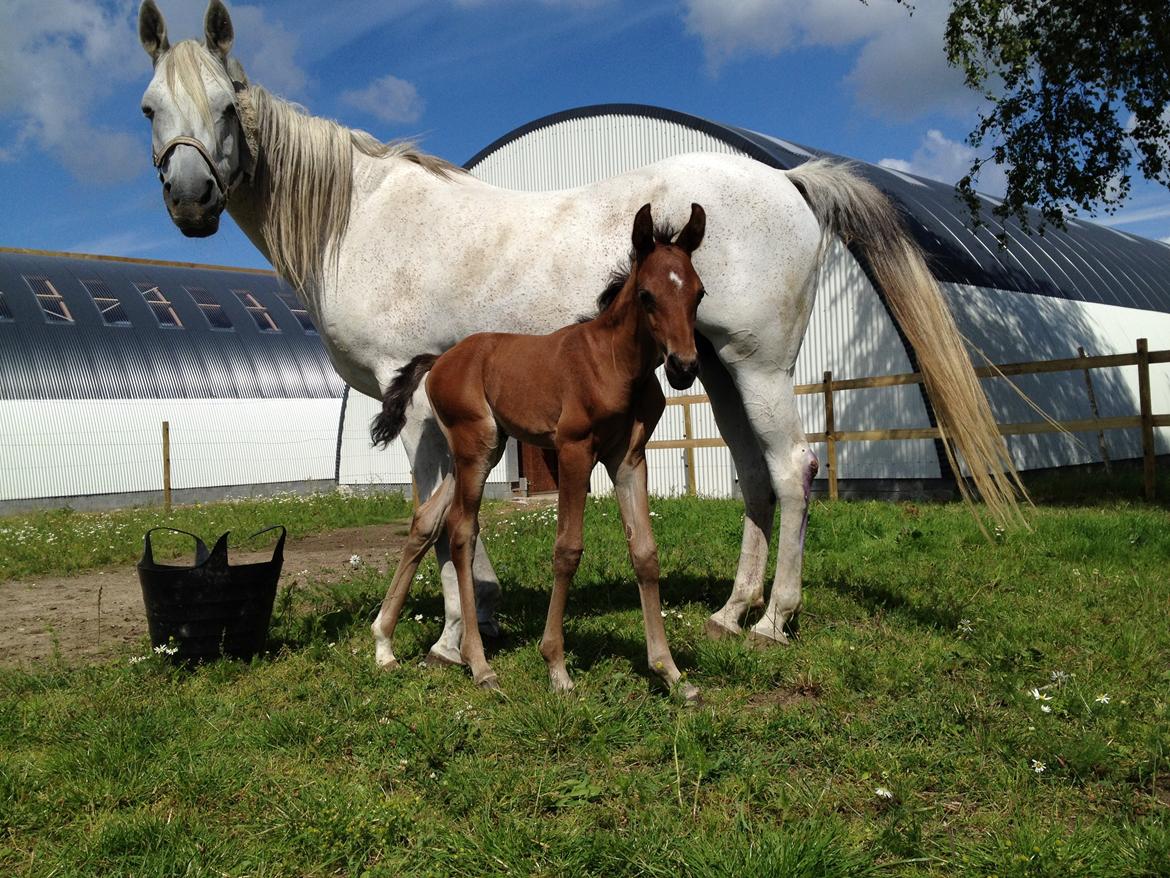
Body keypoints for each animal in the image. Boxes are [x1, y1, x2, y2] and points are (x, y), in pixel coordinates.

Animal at [369, 204, 706, 702]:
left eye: (699, 294)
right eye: (646, 295)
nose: (684, 368)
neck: (614, 363)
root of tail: (440, 359)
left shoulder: (628, 459)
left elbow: (645, 553)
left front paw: (671, 673)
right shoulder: (573, 451)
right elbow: (567, 549)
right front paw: (556, 667)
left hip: (484, 450)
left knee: (427, 520)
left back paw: (384, 644)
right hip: (476, 447)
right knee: (461, 531)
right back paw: (480, 665)